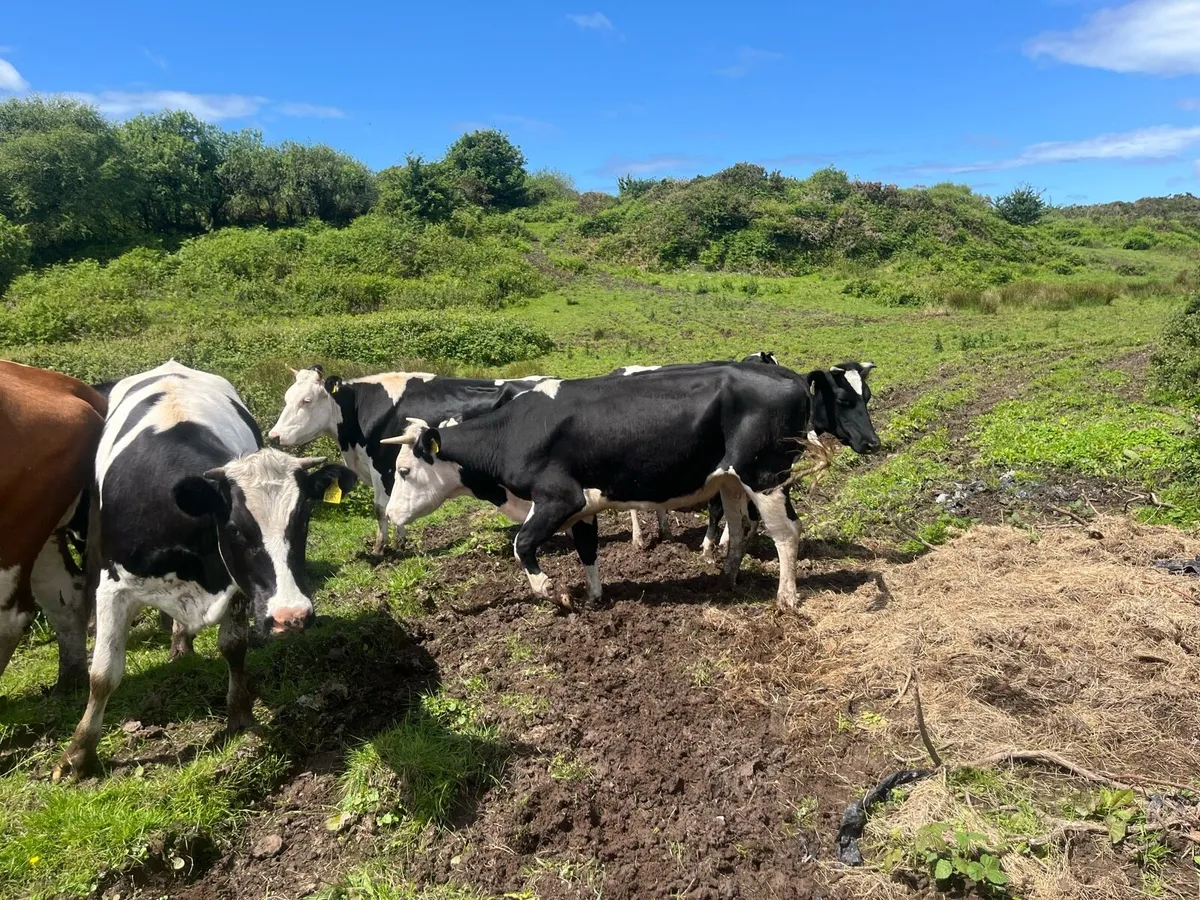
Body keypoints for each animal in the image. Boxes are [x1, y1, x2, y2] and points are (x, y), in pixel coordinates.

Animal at [53, 361, 355, 780]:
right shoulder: (114, 587)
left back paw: (181, 641)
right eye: (235, 529)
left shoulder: (238, 585)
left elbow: (234, 646)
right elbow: (103, 675)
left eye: (303, 519)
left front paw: (239, 713)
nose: (291, 616)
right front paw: (78, 755)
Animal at [267, 367, 546, 554]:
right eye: (286, 398)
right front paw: (401, 541)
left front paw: (381, 549)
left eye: (306, 400)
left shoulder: (381, 465)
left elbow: (381, 507)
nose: (273, 436)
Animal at [381, 361, 880, 610]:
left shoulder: (558, 499)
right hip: (732, 478)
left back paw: (786, 598)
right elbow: (587, 552)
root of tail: (789, 376)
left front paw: (556, 593)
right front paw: (595, 597)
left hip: (766, 475)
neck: (514, 432)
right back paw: (728, 577)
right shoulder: (582, 507)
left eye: (404, 472)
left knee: (786, 534)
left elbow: (522, 547)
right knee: (738, 527)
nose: (388, 515)